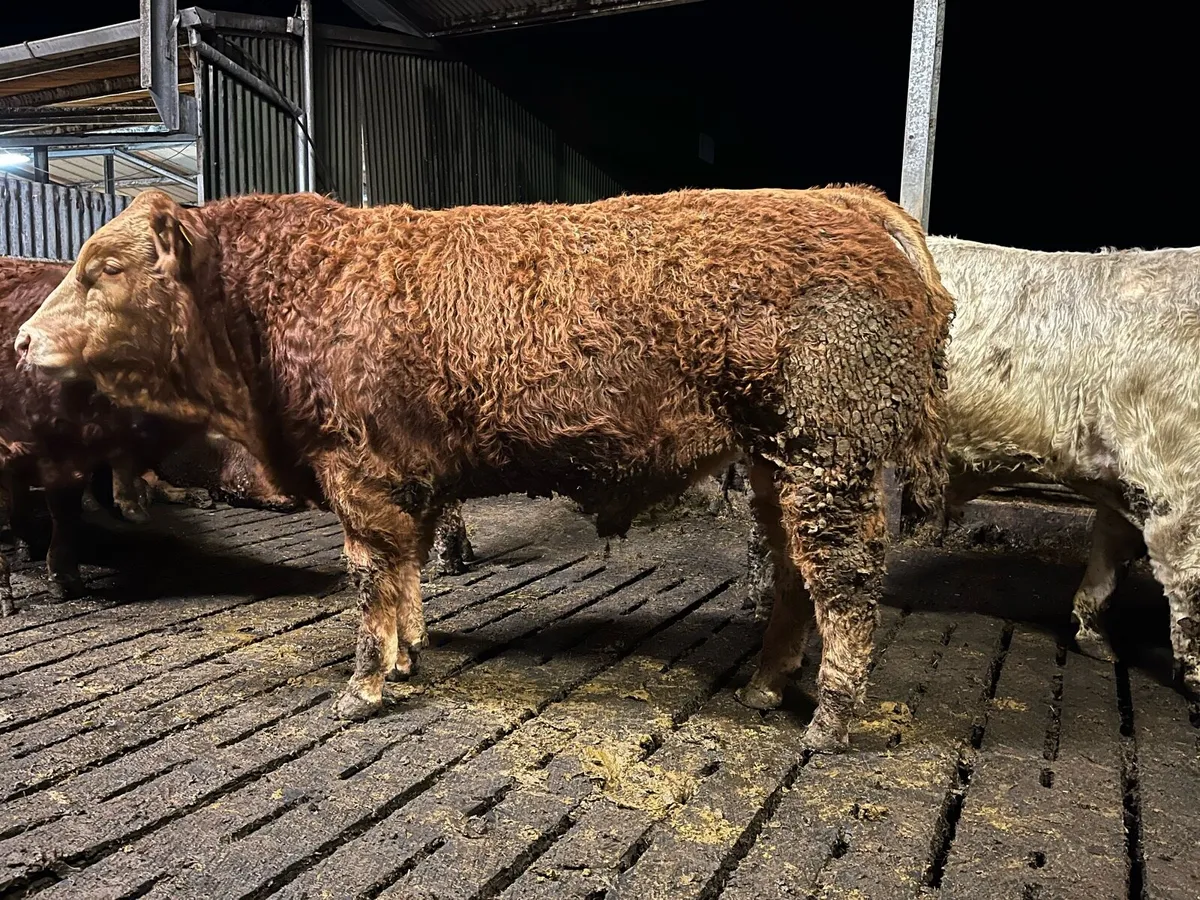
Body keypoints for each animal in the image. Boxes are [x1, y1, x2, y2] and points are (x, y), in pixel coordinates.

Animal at [15, 186, 952, 752]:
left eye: (104, 267)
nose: (20, 340)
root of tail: (847, 201)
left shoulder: (359, 470)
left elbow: (371, 580)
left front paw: (364, 685)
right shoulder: (407, 475)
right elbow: (405, 574)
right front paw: (408, 656)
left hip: (827, 454)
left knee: (843, 584)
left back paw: (828, 721)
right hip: (775, 460)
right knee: (795, 573)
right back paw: (764, 685)